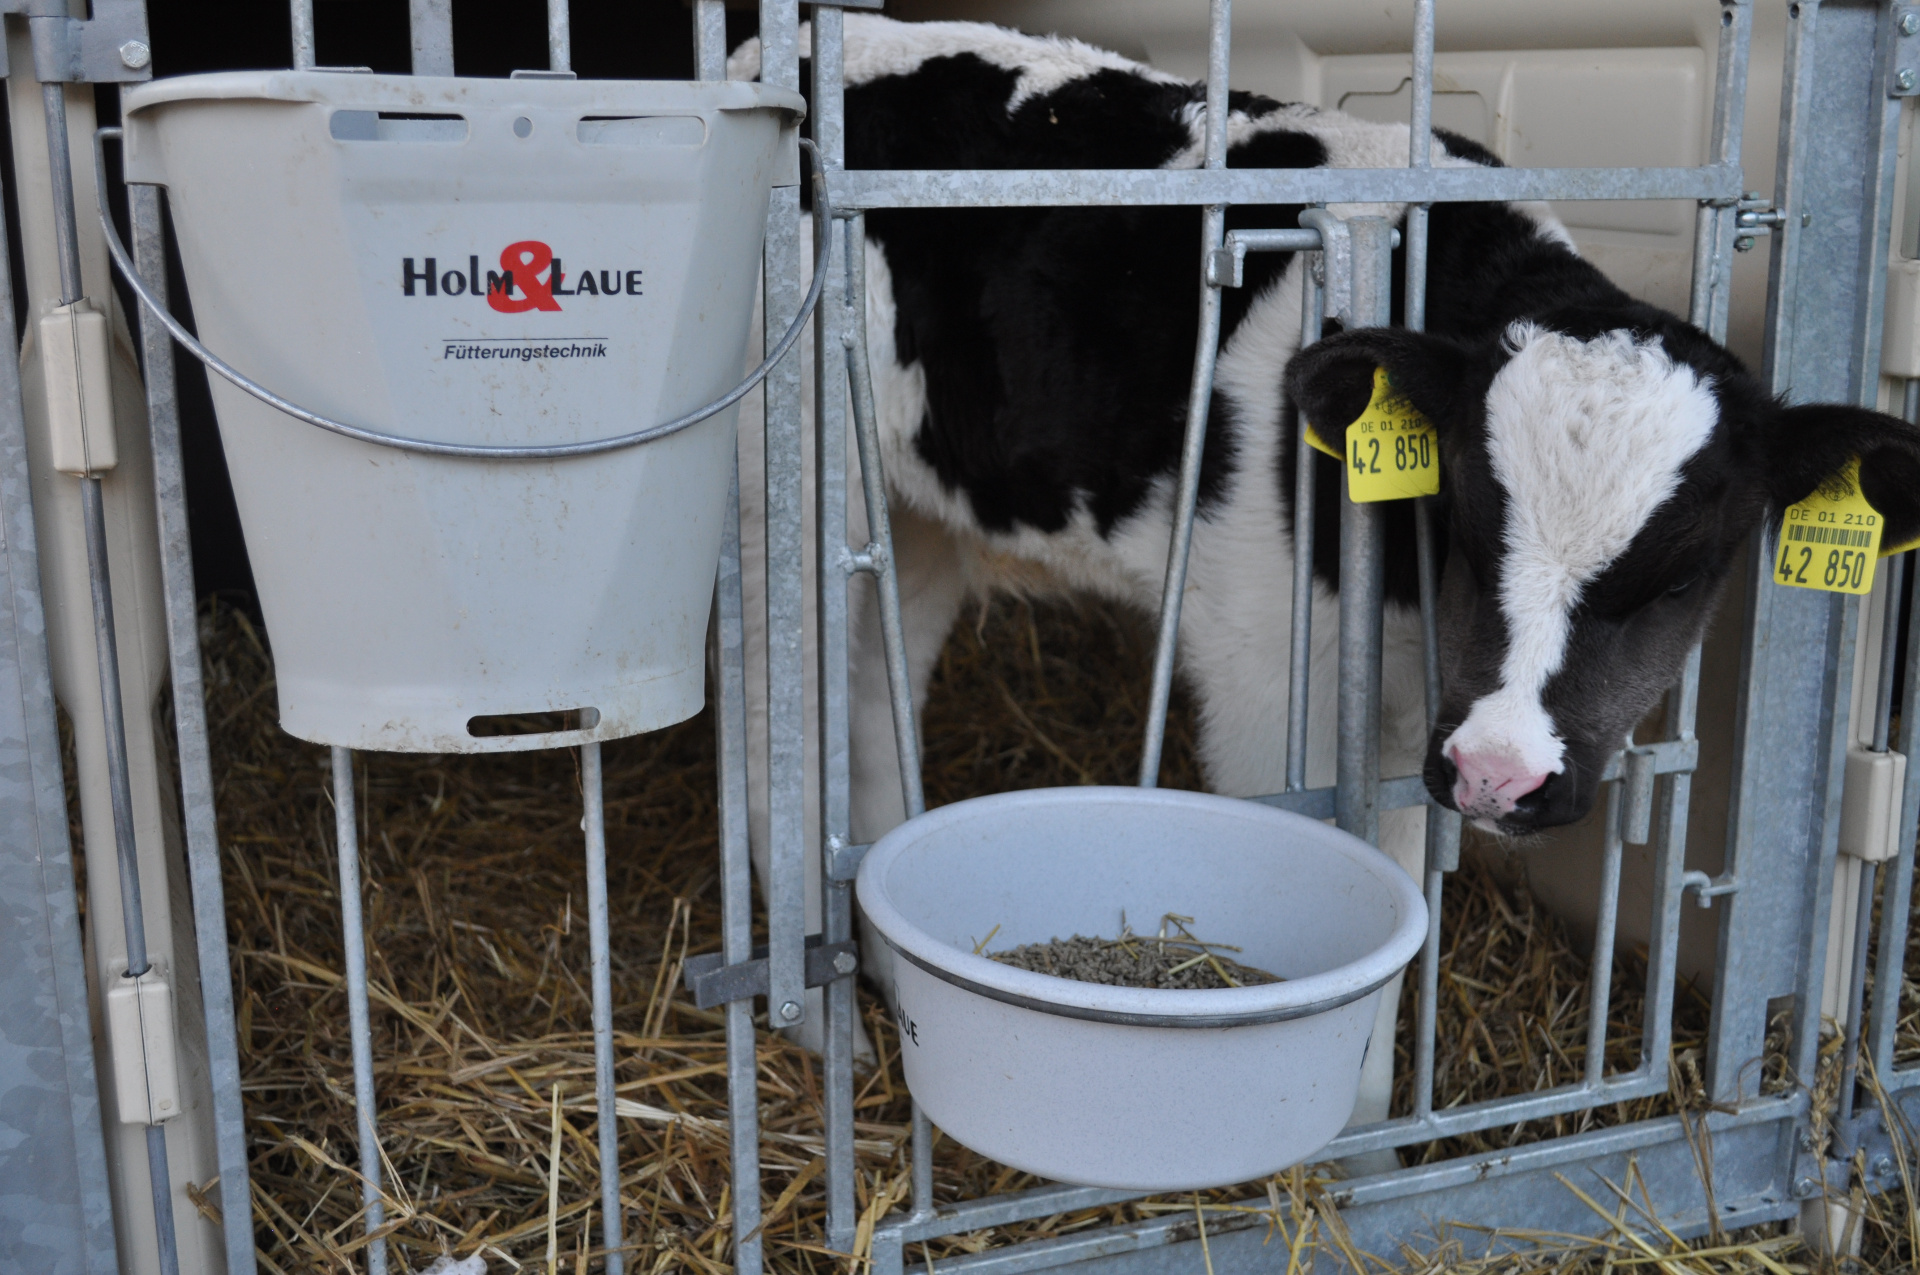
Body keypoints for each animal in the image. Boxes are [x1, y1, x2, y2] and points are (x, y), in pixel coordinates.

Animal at [725, 14, 1920, 1121]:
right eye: (1471, 519)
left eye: (1680, 576)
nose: (1501, 774)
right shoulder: (1265, 680)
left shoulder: (1415, 725)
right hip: (778, 495)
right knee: (783, 751)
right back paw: (828, 1032)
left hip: (910, 522)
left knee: (868, 720)